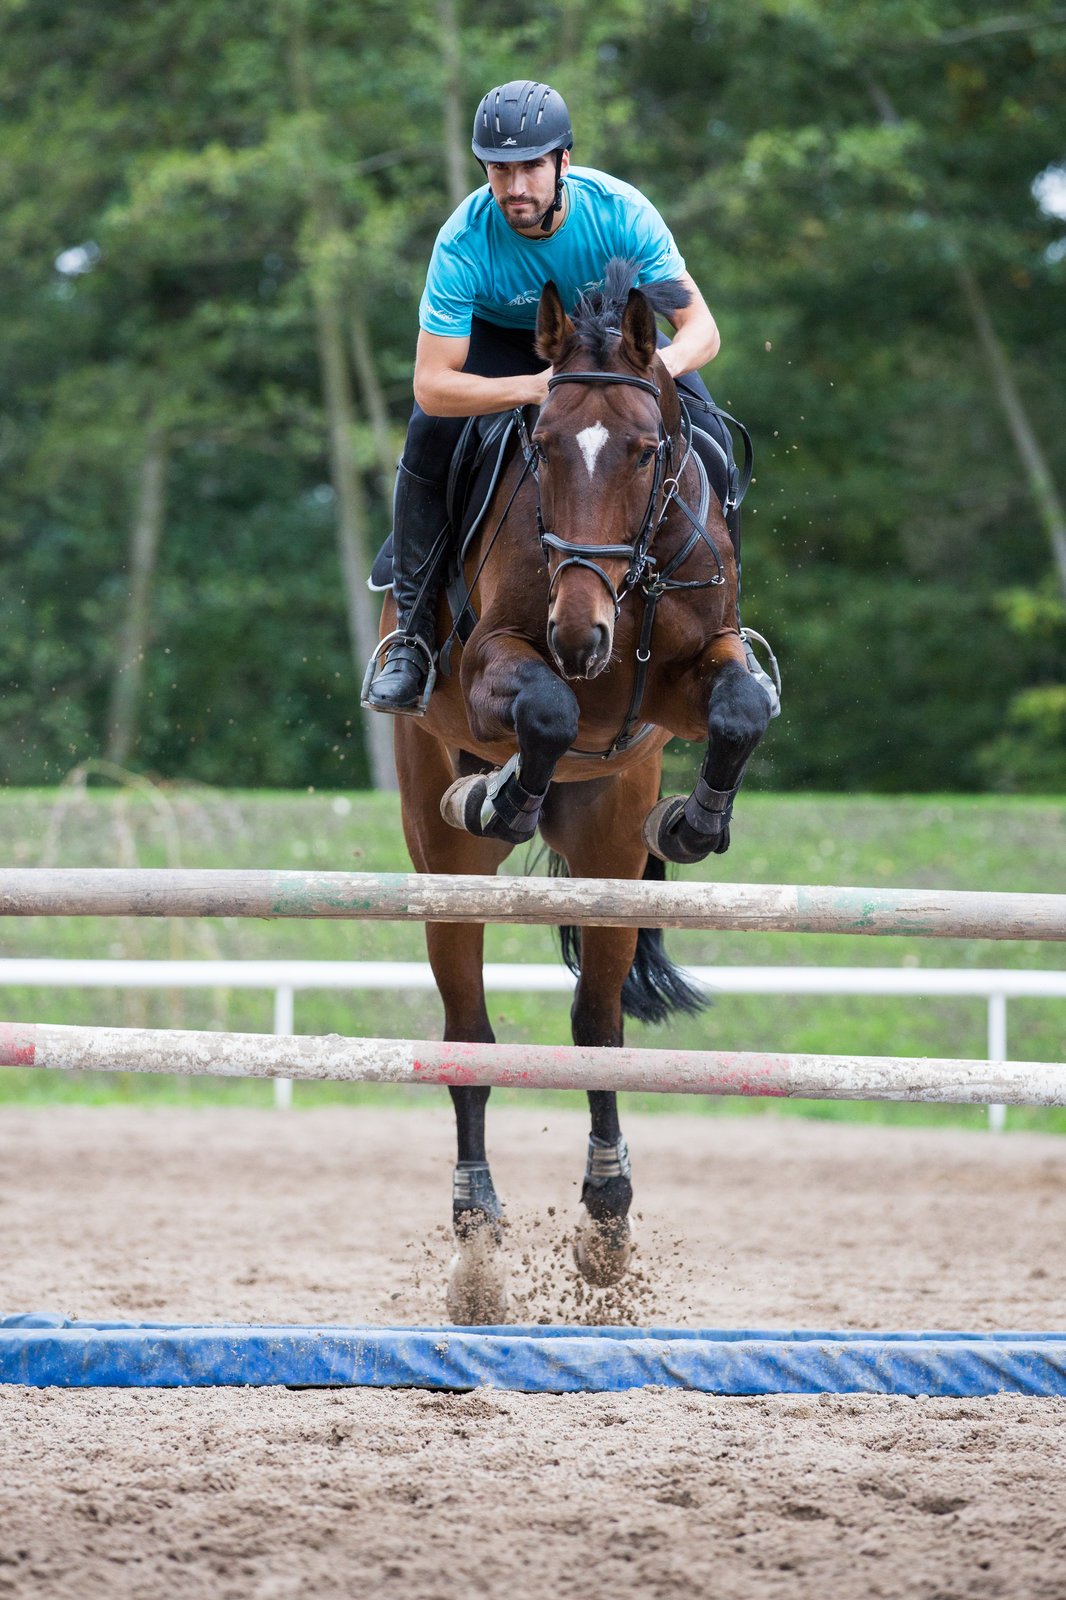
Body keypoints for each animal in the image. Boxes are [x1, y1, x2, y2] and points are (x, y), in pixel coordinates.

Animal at [385, 259, 768, 1312]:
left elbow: (741, 708)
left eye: (642, 452)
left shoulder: (687, 680)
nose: (580, 635)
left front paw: (695, 822)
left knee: (596, 1025)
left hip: (606, 844)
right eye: (545, 448)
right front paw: (502, 794)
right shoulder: (493, 669)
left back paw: (607, 1214)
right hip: (442, 853)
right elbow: (549, 711)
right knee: (468, 1035)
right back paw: (477, 1233)